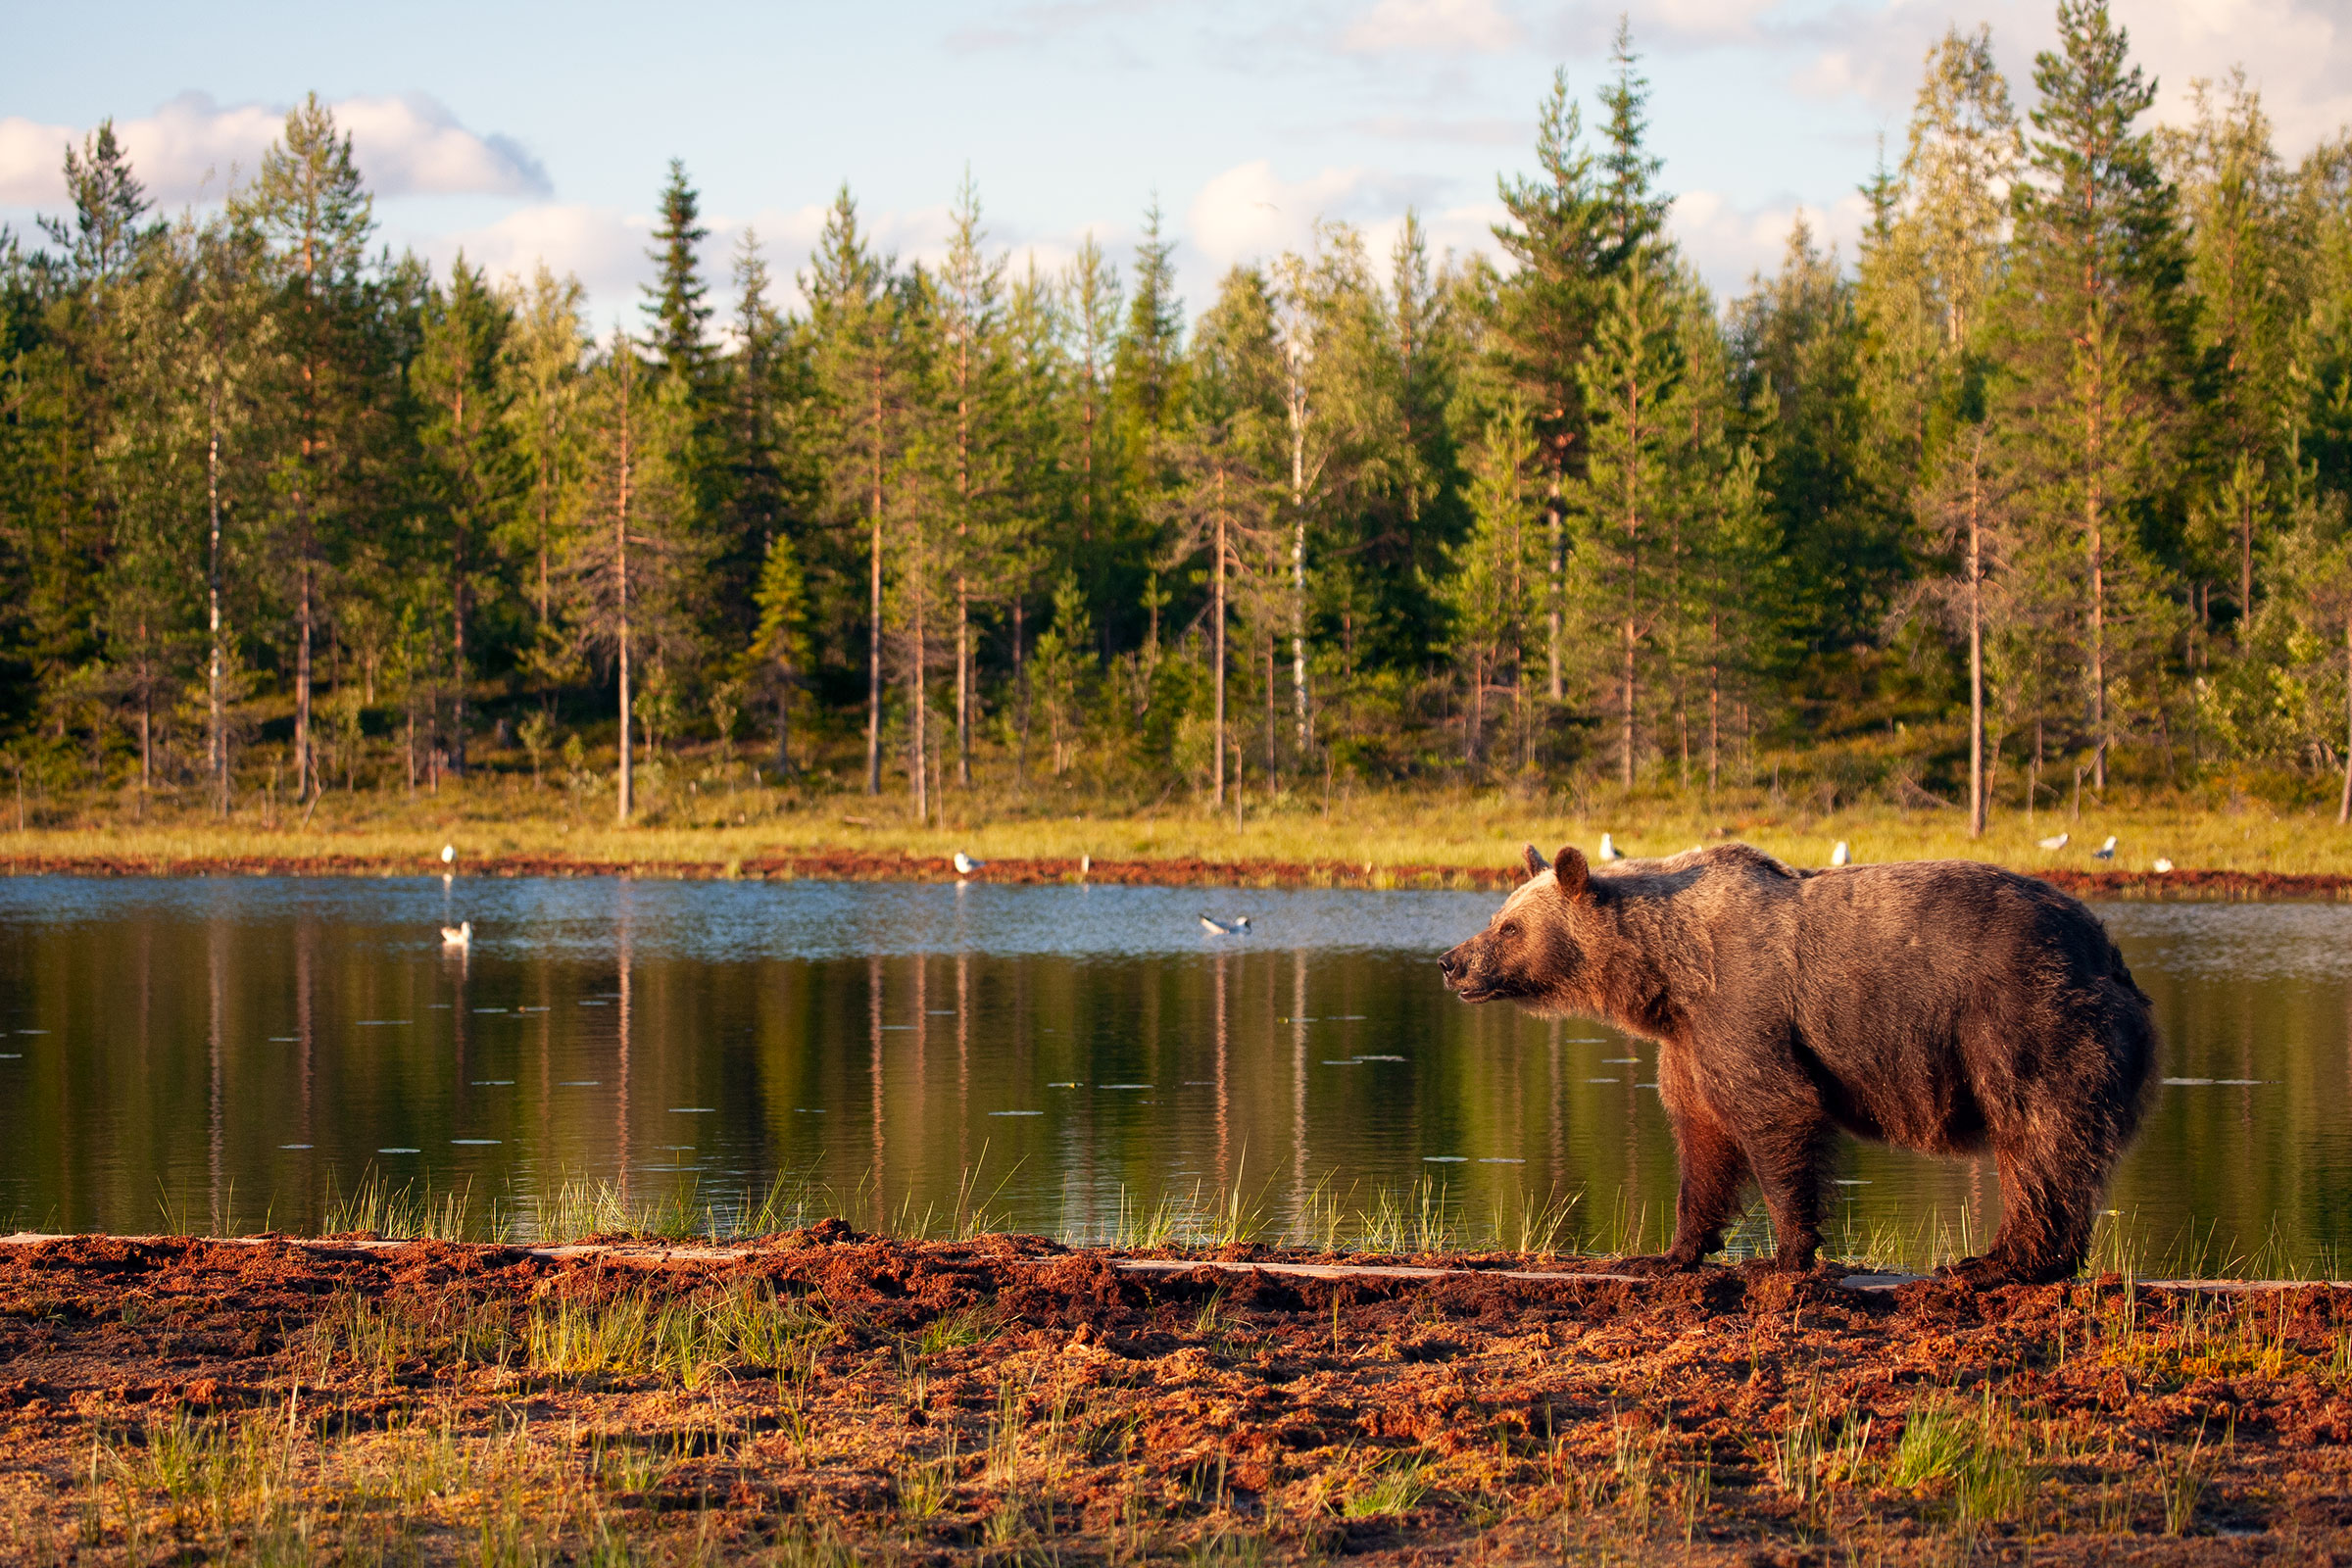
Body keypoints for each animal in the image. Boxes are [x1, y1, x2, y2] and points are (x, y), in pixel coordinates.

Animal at [1430, 846, 2154, 1288]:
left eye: (1510, 928)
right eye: (1497, 914)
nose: (1450, 961)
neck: (1671, 975)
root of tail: (2108, 950)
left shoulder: (1746, 1011)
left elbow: (1774, 1115)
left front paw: (1785, 1256)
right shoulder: (1690, 1043)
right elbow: (1703, 1141)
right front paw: (1668, 1252)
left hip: (2022, 1020)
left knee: (2037, 1135)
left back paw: (2002, 1261)